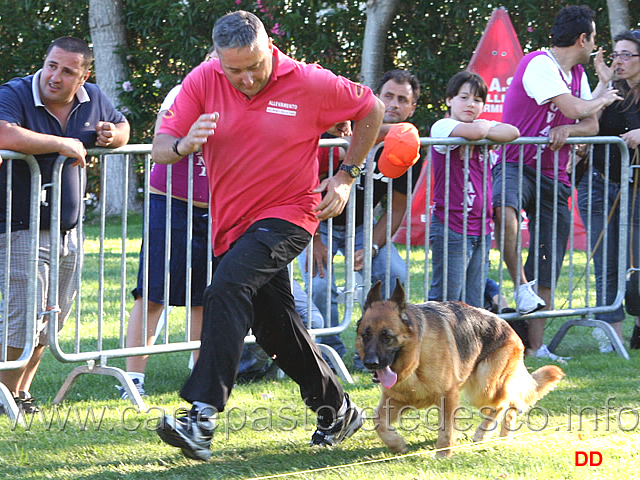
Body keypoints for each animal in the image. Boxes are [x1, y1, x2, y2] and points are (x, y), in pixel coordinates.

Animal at [356, 280, 564, 456]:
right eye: (365, 335)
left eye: (387, 337)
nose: (370, 363)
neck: (417, 355)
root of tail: (509, 326)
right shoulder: (396, 399)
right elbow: (377, 421)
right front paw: (396, 444)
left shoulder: (448, 396)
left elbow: (446, 429)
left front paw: (443, 454)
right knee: (511, 403)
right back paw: (502, 437)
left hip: (484, 388)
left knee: (504, 403)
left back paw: (483, 434)